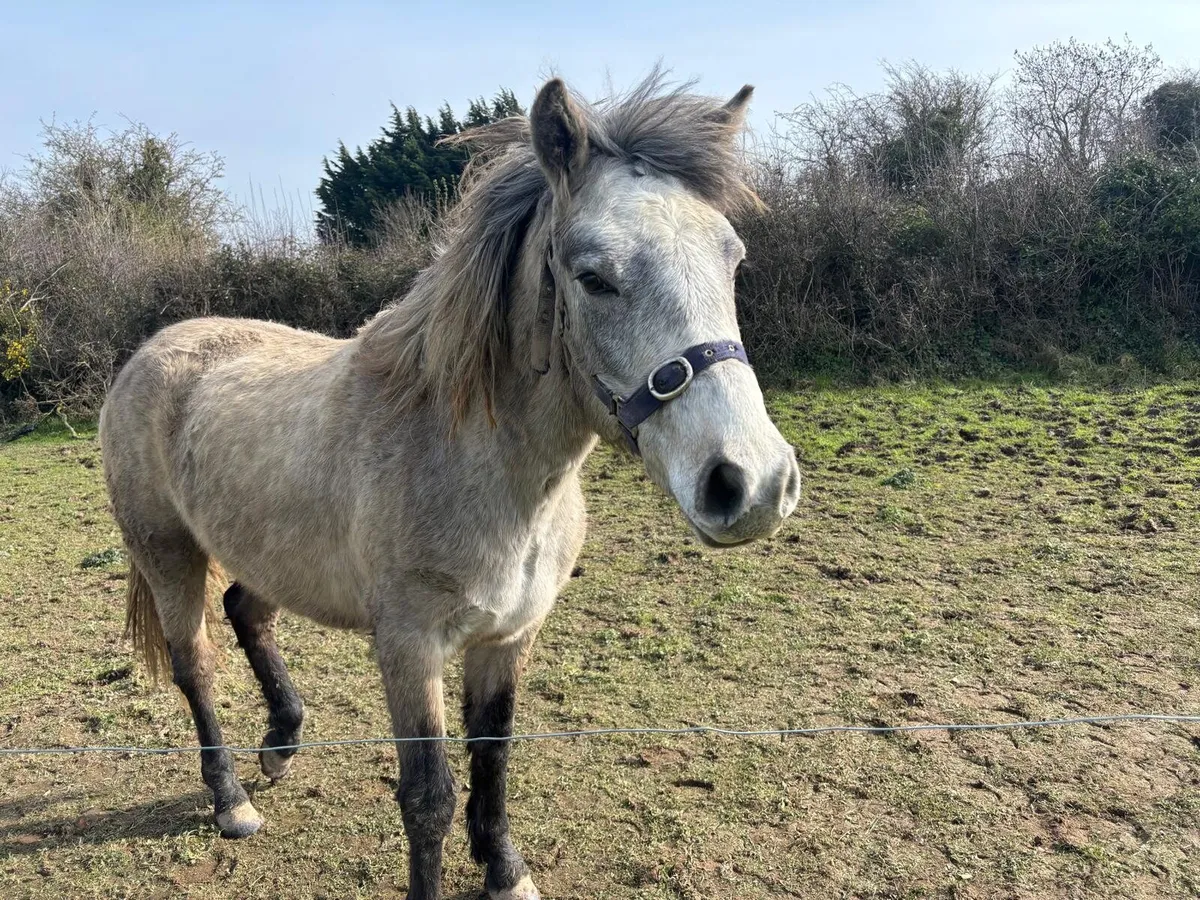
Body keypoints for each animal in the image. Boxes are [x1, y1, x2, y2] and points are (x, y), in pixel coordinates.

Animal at [99, 72, 801, 900]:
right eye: (594, 278)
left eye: (732, 260)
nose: (751, 484)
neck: (475, 462)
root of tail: (151, 352)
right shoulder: (409, 648)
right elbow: (427, 795)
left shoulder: (506, 638)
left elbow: (492, 758)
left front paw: (504, 870)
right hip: (170, 557)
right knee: (195, 665)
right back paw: (231, 798)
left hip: (266, 554)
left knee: (249, 613)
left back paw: (282, 741)